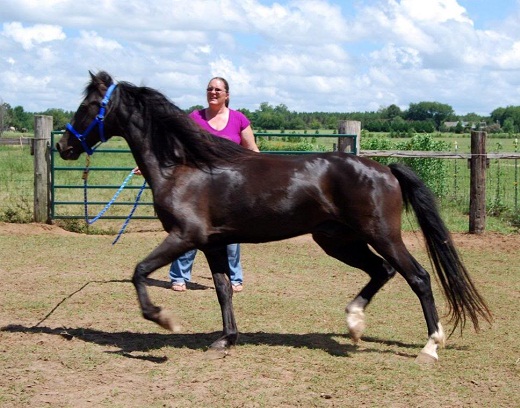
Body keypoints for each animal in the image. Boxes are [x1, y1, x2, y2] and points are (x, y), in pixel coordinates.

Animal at [57, 71, 492, 364]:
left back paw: (431, 346)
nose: (64, 147)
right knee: (381, 271)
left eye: (89, 106)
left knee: (417, 276)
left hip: (381, 235)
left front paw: (163, 319)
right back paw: (354, 324)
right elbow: (223, 290)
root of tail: (385, 169)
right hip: (336, 239)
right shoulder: (212, 243)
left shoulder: (185, 236)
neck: (184, 166)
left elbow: (139, 271)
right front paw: (226, 340)